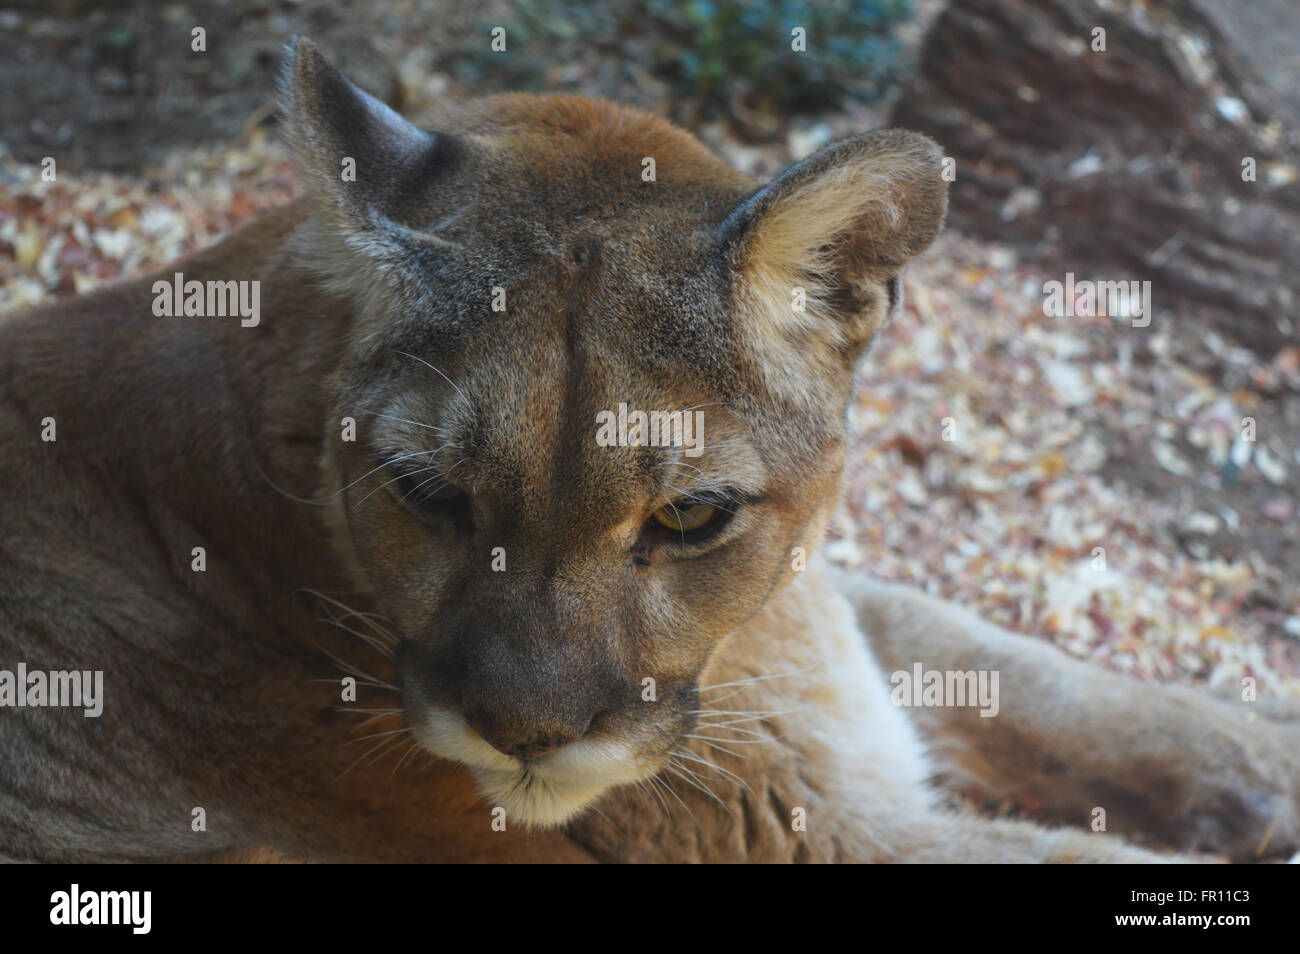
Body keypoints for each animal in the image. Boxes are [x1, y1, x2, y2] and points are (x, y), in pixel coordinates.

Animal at [2, 39, 1300, 868]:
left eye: (689, 517)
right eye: (427, 492)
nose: (525, 735)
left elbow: (988, 649)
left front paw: (1258, 749)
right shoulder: (826, 835)